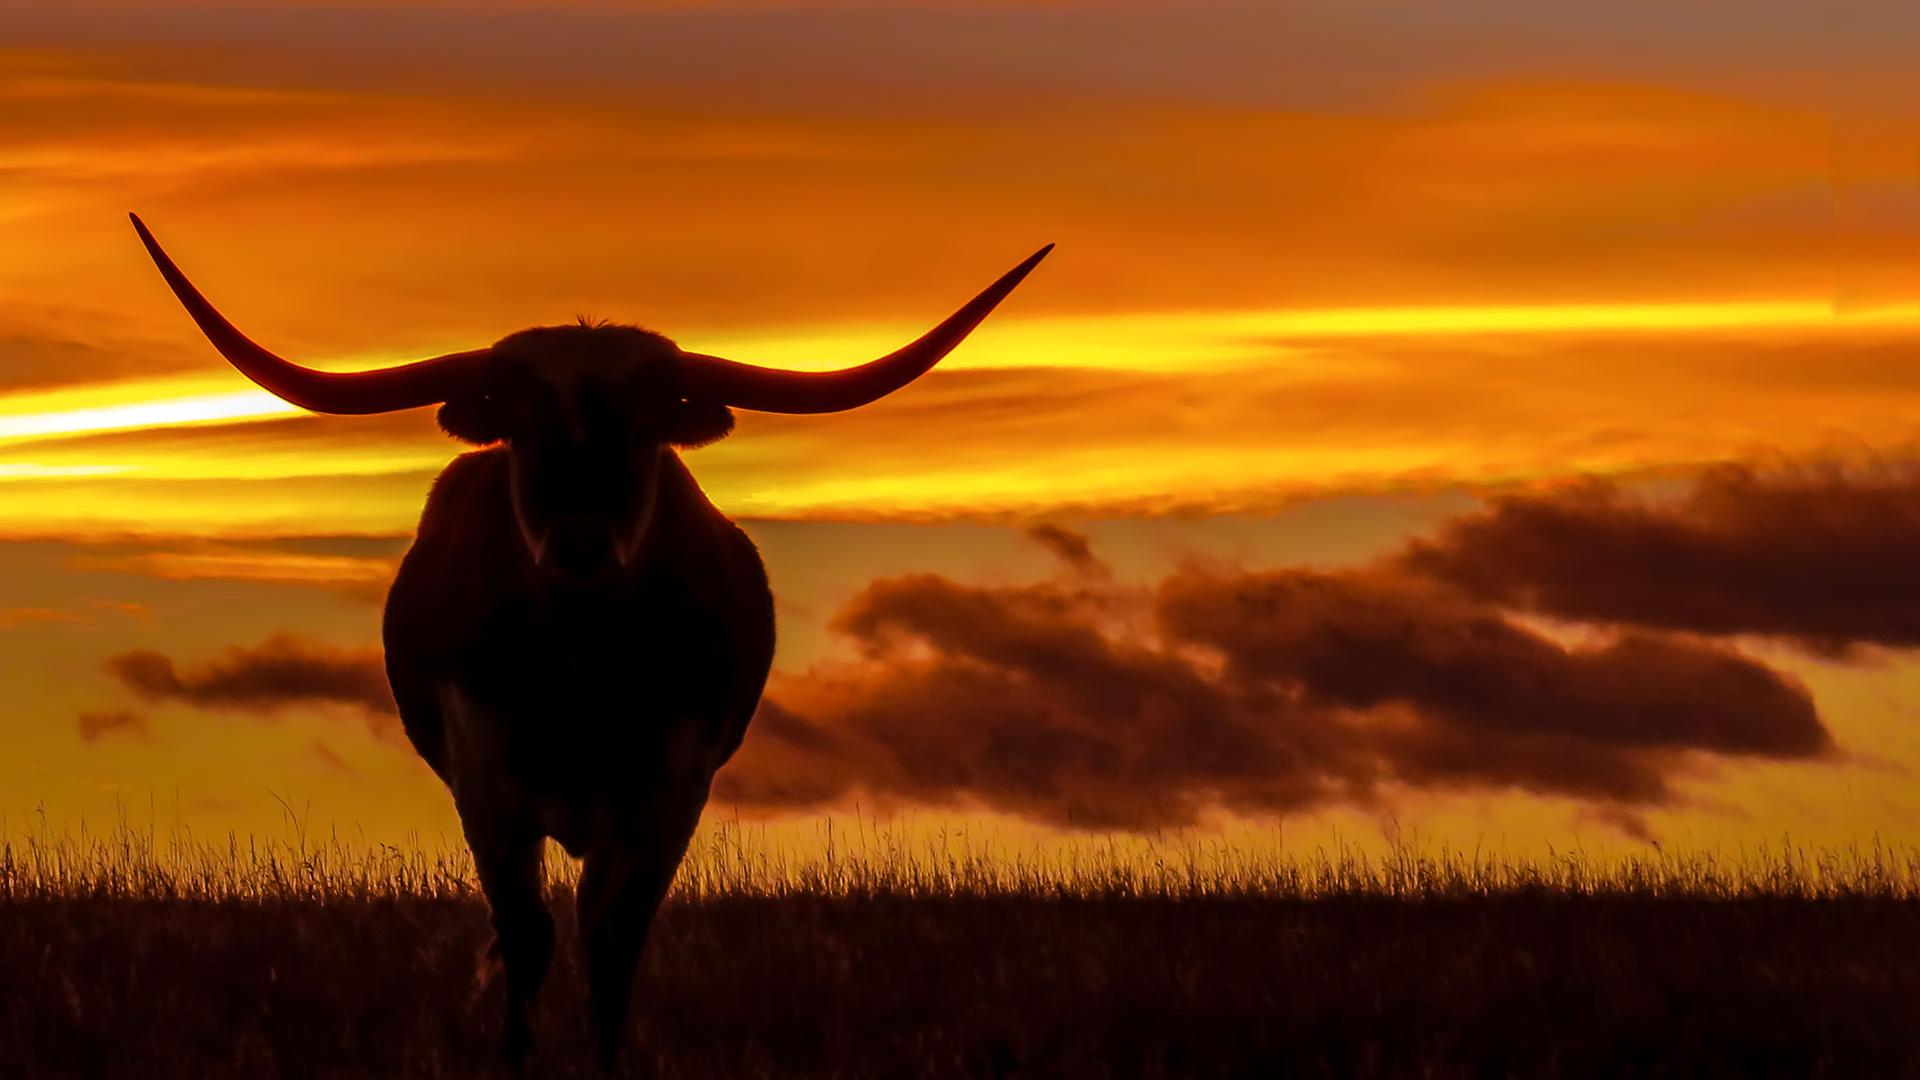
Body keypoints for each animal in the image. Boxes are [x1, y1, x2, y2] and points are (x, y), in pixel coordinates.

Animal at [131, 214, 1052, 1060]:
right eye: (520, 426)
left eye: (645, 428)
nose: (579, 540)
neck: (581, 666)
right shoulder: (486, 779)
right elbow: (527, 936)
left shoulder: (672, 788)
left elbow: (615, 943)